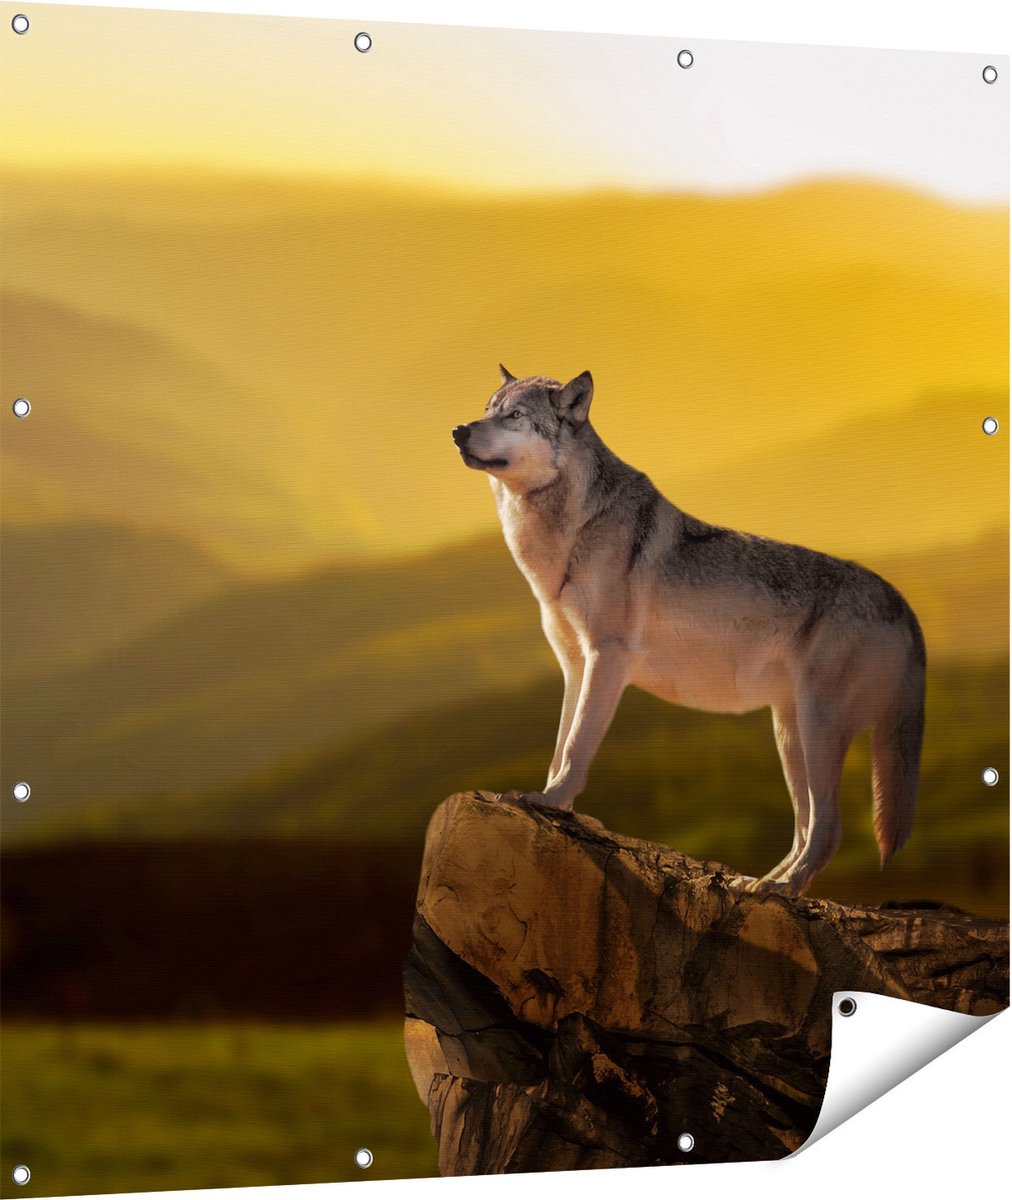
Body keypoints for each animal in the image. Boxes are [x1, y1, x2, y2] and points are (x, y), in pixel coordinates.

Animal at [452, 366, 926, 895]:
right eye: (488, 409)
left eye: (515, 415)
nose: (458, 431)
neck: (568, 533)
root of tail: (903, 603)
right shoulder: (574, 667)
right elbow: (560, 745)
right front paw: (551, 802)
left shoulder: (608, 657)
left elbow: (575, 747)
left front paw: (551, 802)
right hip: (789, 733)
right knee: (805, 826)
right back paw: (761, 883)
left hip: (817, 726)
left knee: (828, 827)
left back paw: (780, 889)